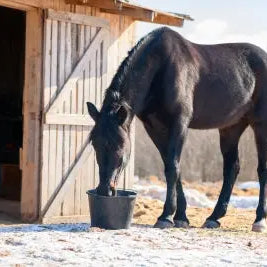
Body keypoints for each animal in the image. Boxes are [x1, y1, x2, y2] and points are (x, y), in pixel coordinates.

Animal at [88, 26, 267, 232]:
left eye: (119, 145)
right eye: (94, 144)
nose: (104, 190)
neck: (160, 67)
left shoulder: (179, 123)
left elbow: (172, 167)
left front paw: (165, 216)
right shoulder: (155, 128)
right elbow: (173, 166)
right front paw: (180, 217)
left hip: (260, 125)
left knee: (262, 169)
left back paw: (259, 220)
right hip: (231, 128)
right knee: (232, 168)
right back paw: (214, 218)